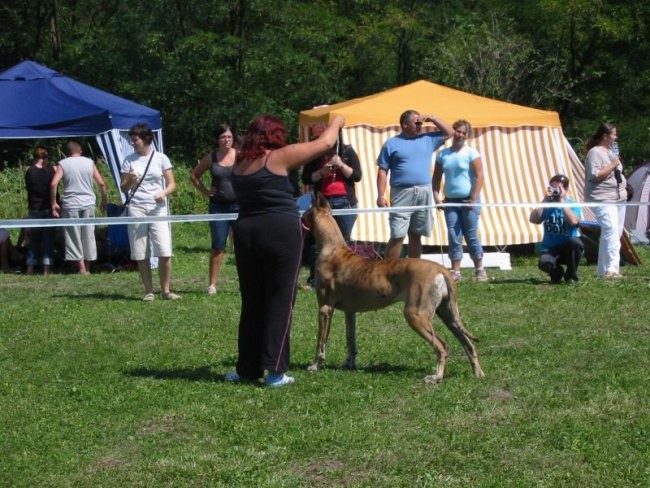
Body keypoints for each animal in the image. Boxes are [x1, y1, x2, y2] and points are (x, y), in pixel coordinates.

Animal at [302, 193, 484, 384]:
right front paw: (349, 363)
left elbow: (321, 341)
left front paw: (315, 365)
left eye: (305, 215)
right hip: (448, 314)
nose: (299, 219)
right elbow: (350, 339)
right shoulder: (349, 312)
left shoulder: (325, 308)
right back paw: (478, 373)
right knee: (468, 343)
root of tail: (442, 270)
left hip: (416, 315)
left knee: (442, 346)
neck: (332, 247)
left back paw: (436, 377)